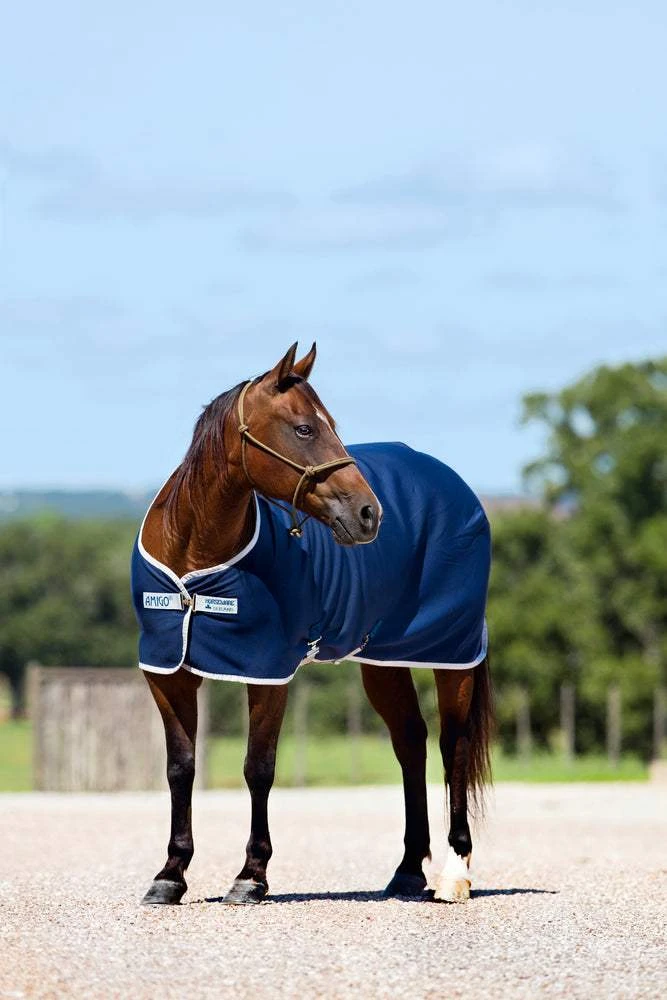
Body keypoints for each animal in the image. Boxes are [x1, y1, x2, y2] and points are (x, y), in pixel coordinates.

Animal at [133, 342, 493, 906]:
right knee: (410, 742)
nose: (370, 513)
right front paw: (171, 874)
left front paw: (250, 875)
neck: (194, 552)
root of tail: (456, 486)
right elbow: (180, 767)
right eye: (304, 429)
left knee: (451, 746)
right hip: (383, 661)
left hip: (451, 653)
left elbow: (258, 767)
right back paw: (408, 870)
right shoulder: (167, 672)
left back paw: (454, 873)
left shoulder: (267, 670)